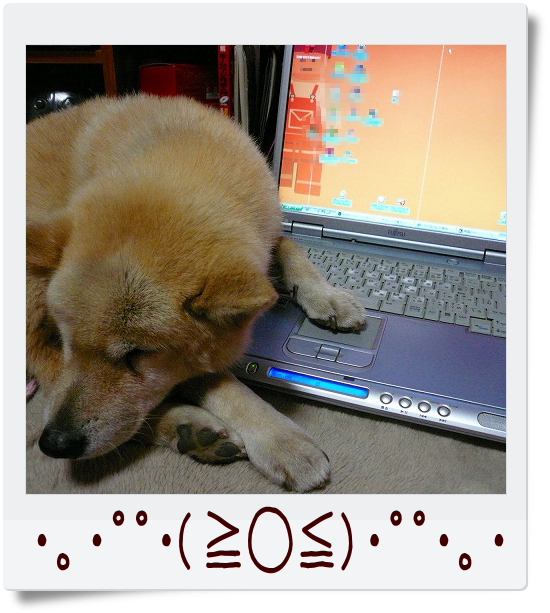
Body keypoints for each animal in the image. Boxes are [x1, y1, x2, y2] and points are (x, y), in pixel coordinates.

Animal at [26, 94, 366, 492]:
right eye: (65, 339)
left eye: (138, 353)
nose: (55, 443)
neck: (186, 147)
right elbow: (219, 381)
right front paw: (280, 439)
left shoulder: (267, 235)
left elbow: (291, 246)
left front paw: (328, 296)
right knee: (47, 372)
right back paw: (185, 425)